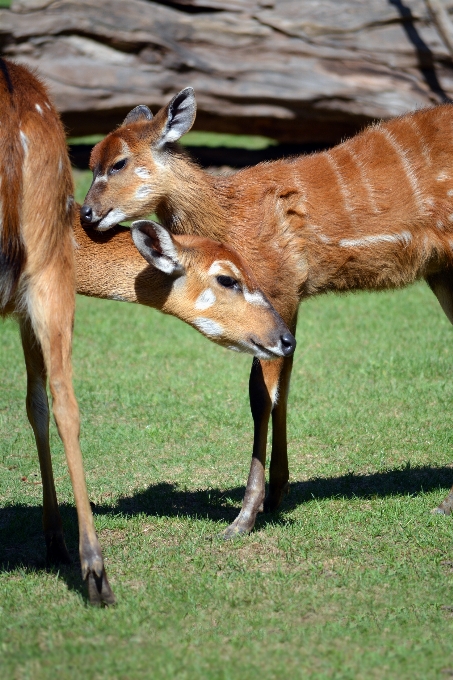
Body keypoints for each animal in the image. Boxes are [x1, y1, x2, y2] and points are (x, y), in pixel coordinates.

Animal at [80, 89, 453, 536]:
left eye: (119, 162)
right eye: (91, 162)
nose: (85, 214)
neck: (229, 214)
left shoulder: (278, 290)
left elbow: (261, 396)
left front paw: (243, 517)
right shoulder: (287, 306)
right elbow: (284, 390)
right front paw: (276, 496)